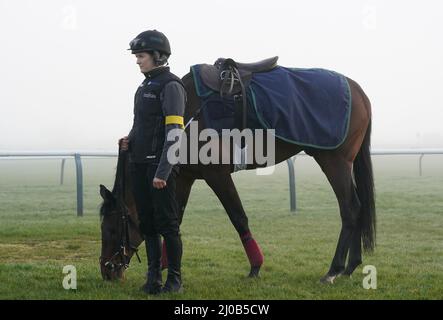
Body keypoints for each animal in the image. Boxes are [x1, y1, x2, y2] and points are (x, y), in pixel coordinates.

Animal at [99, 61, 376, 284]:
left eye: (111, 229)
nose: (107, 270)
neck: (187, 114)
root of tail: (358, 90)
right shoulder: (184, 177)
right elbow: (175, 218)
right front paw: (169, 265)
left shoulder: (217, 175)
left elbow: (238, 217)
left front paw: (255, 266)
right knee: (359, 205)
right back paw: (350, 266)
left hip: (333, 160)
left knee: (350, 208)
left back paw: (334, 270)